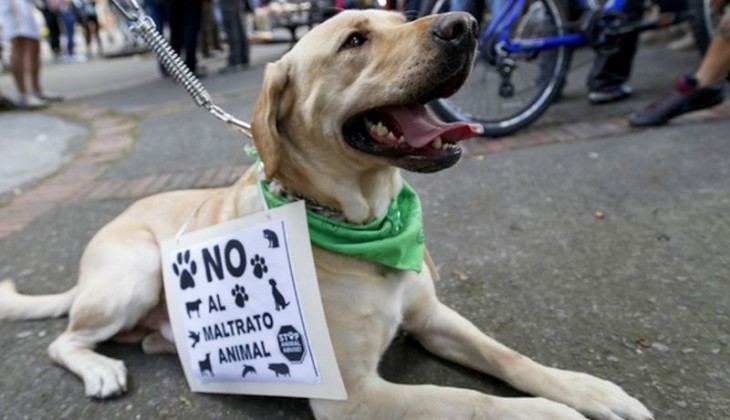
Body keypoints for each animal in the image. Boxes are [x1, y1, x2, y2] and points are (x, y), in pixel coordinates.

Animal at [0, 9, 648, 420]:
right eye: (354, 41)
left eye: (401, 17)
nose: (464, 25)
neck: (364, 221)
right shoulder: (354, 396)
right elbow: (474, 402)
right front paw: (552, 412)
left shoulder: (433, 316)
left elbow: (507, 356)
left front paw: (585, 389)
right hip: (132, 275)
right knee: (62, 340)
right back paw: (100, 369)